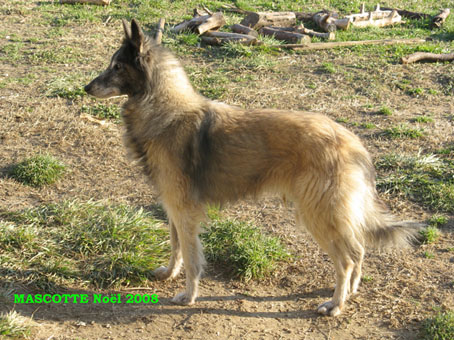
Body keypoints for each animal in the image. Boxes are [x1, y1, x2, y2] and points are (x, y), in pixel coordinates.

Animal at [85, 19, 422, 316]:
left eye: (118, 67)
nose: (87, 87)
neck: (163, 108)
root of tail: (353, 143)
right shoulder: (173, 208)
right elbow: (175, 246)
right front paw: (168, 274)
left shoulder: (184, 211)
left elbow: (192, 257)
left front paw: (189, 296)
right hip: (333, 216)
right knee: (359, 249)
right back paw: (350, 291)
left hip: (318, 215)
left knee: (347, 260)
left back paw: (336, 305)